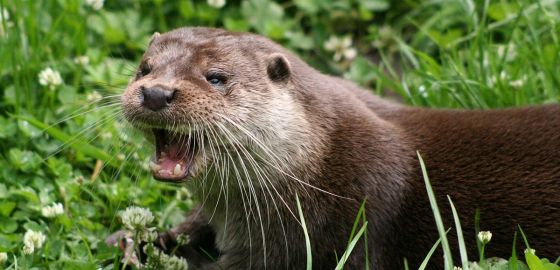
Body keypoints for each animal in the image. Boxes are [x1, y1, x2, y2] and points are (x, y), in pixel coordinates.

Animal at [116, 26, 556, 268]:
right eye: (144, 68)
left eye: (216, 77)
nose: (155, 92)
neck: (319, 175)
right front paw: (135, 241)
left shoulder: (309, 240)